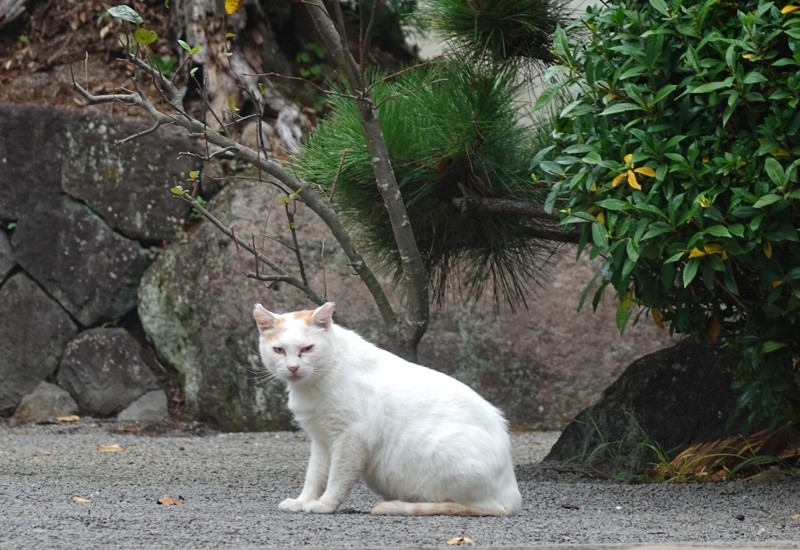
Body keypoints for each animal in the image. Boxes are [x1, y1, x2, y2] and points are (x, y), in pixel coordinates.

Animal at [253, 301, 522, 516]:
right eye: (279, 350)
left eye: (307, 349)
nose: (293, 367)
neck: (314, 382)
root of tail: (512, 497)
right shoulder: (321, 440)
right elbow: (314, 475)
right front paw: (303, 501)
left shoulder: (352, 438)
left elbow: (338, 477)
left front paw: (325, 504)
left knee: (475, 507)